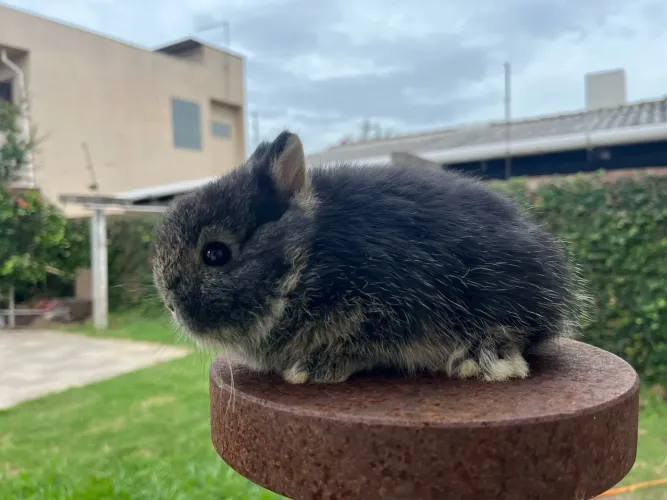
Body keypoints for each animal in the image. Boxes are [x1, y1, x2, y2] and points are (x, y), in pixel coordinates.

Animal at [152, 130, 585, 384]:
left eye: (215, 254)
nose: (171, 306)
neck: (305, 259)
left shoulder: (382, 310)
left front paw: (310, 370)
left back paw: (481, 360)